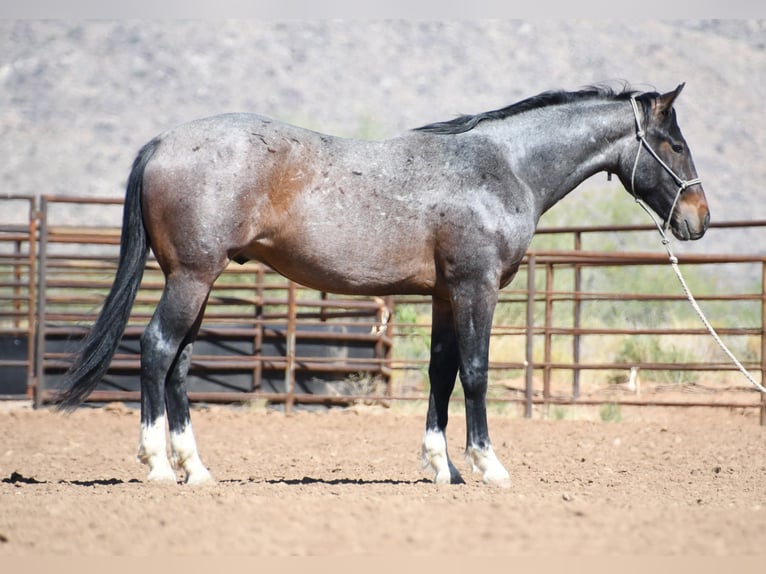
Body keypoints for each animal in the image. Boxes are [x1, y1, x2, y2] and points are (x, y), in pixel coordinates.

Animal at [56, 83, 710, 486]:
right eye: (675, 144)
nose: (699, 218)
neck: (501, 167)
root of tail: (161, 143)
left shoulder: (445, 295)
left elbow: (442, 374)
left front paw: (442, 468)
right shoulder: (476, 288)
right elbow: (476, 373)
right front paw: (488, 466)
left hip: (198, 281)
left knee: (180, 364)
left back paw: (197, 470)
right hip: (192, 279)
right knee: (156, 349)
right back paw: (159, 467)